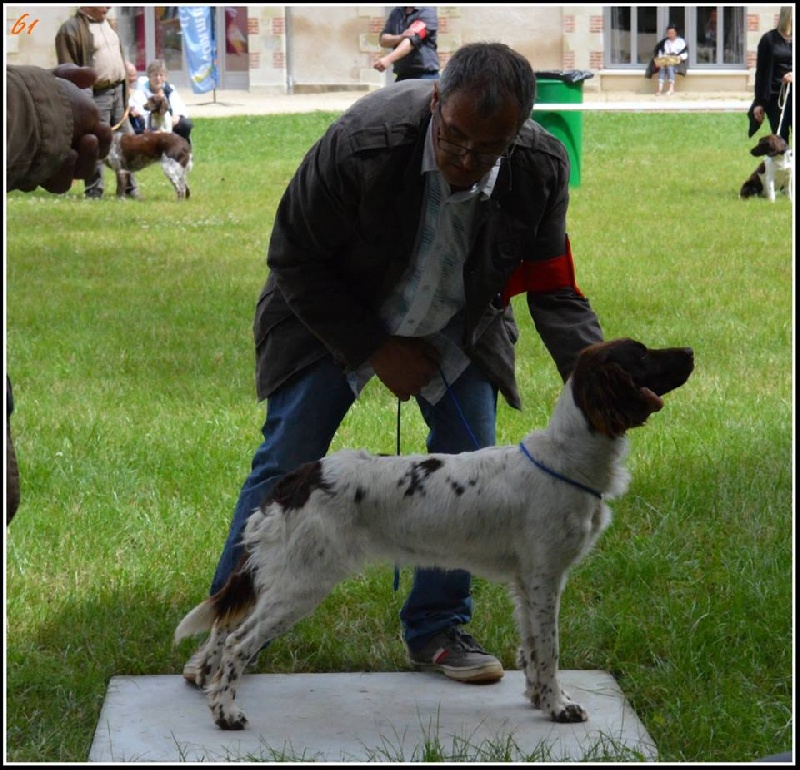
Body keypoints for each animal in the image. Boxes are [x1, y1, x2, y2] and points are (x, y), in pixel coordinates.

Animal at [173, 334, 692, 728]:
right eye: (642, 355)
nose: (690, 351)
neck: (565, 461)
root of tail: (297, 478)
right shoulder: (546, 577)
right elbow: (549, 650)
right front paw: (560, 707)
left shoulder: (526, 583)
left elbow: (531, 649)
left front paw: (539, 700)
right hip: (302, 583)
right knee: (237, 643)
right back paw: (227, 714)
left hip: (280, 578)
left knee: (223, 631)